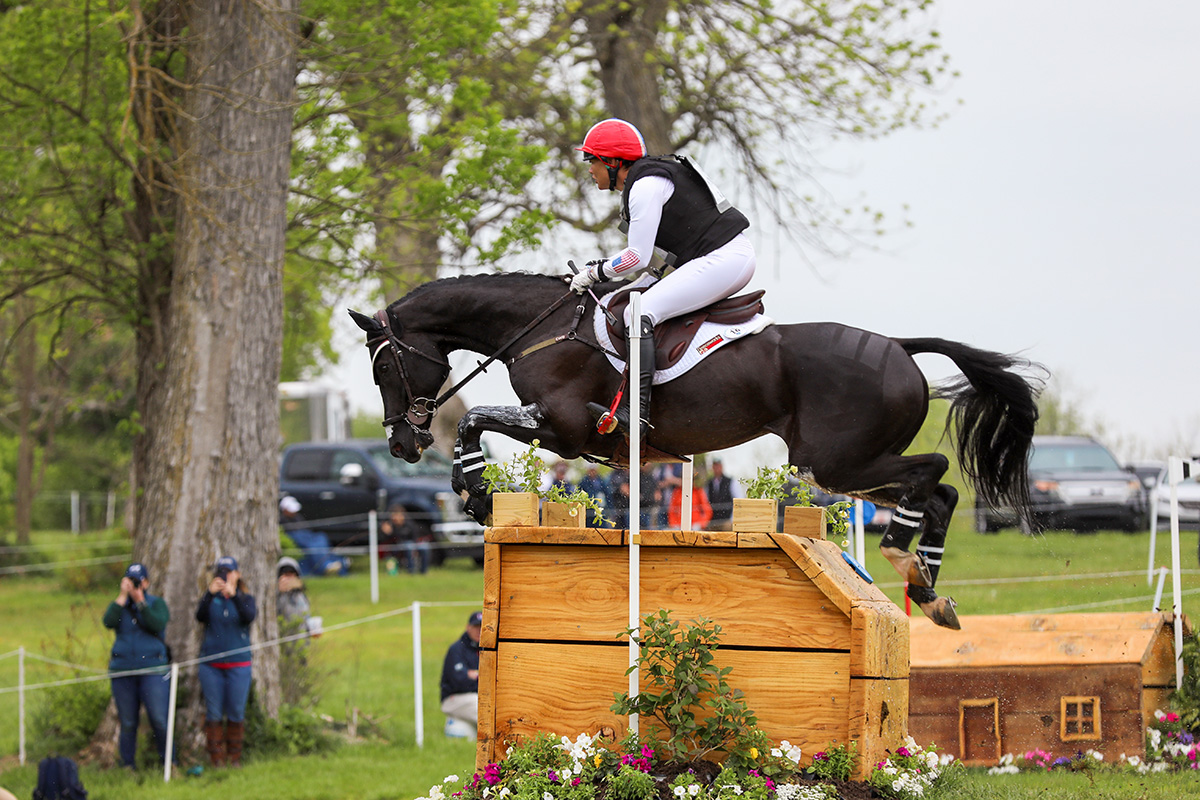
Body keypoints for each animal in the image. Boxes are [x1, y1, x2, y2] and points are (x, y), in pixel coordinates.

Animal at [350, 272, 1041, 628]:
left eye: (384, 368)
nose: (401, 443)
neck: (537, 330)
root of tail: (899, 345)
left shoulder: (564, 427)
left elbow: (474, 424)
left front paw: (475, 492)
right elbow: (478, 425)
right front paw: (472, 492)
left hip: (834, 459)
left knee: (936, 473)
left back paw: (903, 558)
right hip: (846, 463)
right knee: (941, 490)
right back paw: (929, 590)